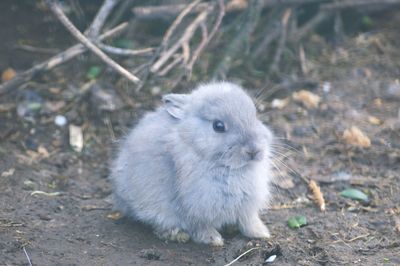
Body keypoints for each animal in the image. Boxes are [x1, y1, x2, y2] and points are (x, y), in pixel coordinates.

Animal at [110, 82, 276, 246]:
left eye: (255, 116)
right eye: (218, 126)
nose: (253, 150)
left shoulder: (247, 207)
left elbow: (248, 220)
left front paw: (261, 233)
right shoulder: (193, 207)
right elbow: (198, 225)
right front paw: (213, 239)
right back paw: (177, 235)